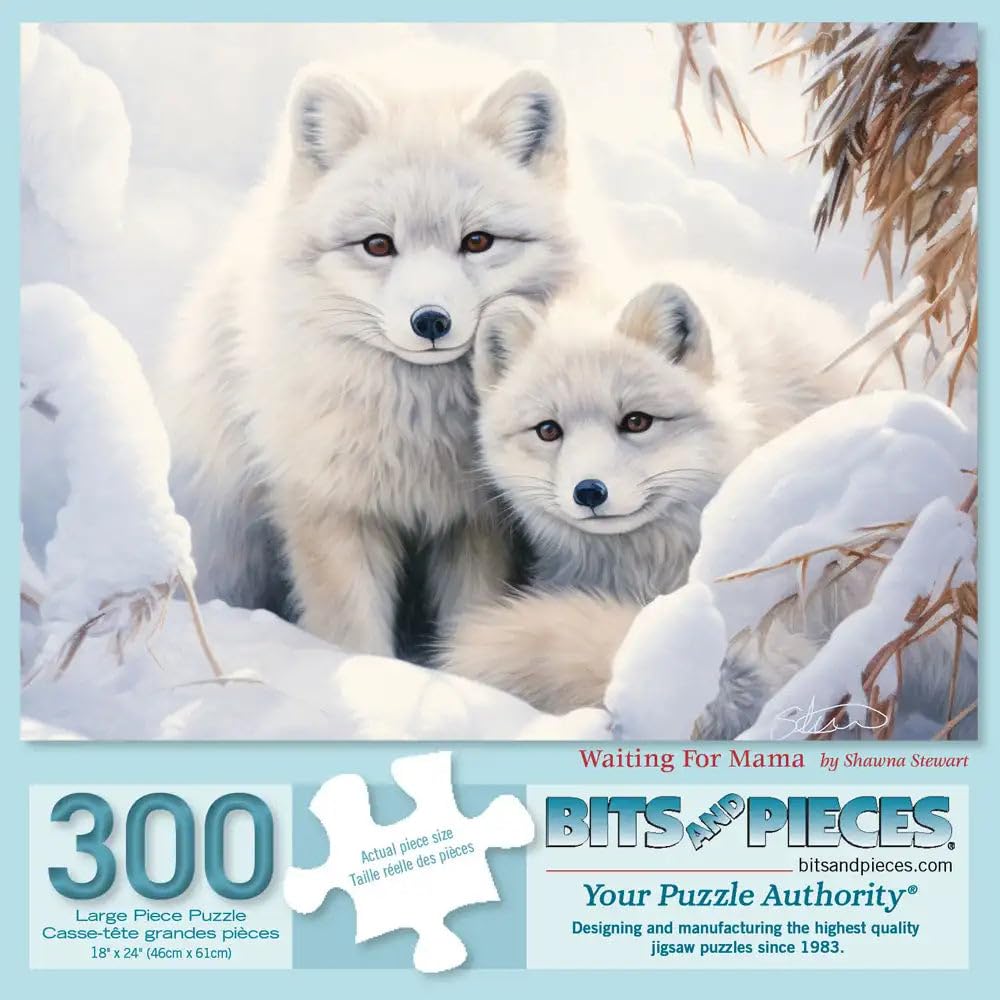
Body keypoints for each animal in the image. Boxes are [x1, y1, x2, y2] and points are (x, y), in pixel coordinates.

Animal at [161, 61, 579, 658]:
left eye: (478, 241)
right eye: (378, 245)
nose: (431, 321)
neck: (419, 436)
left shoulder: (474, 523)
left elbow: (470, 615)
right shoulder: (333, 508)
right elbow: (352, 633)